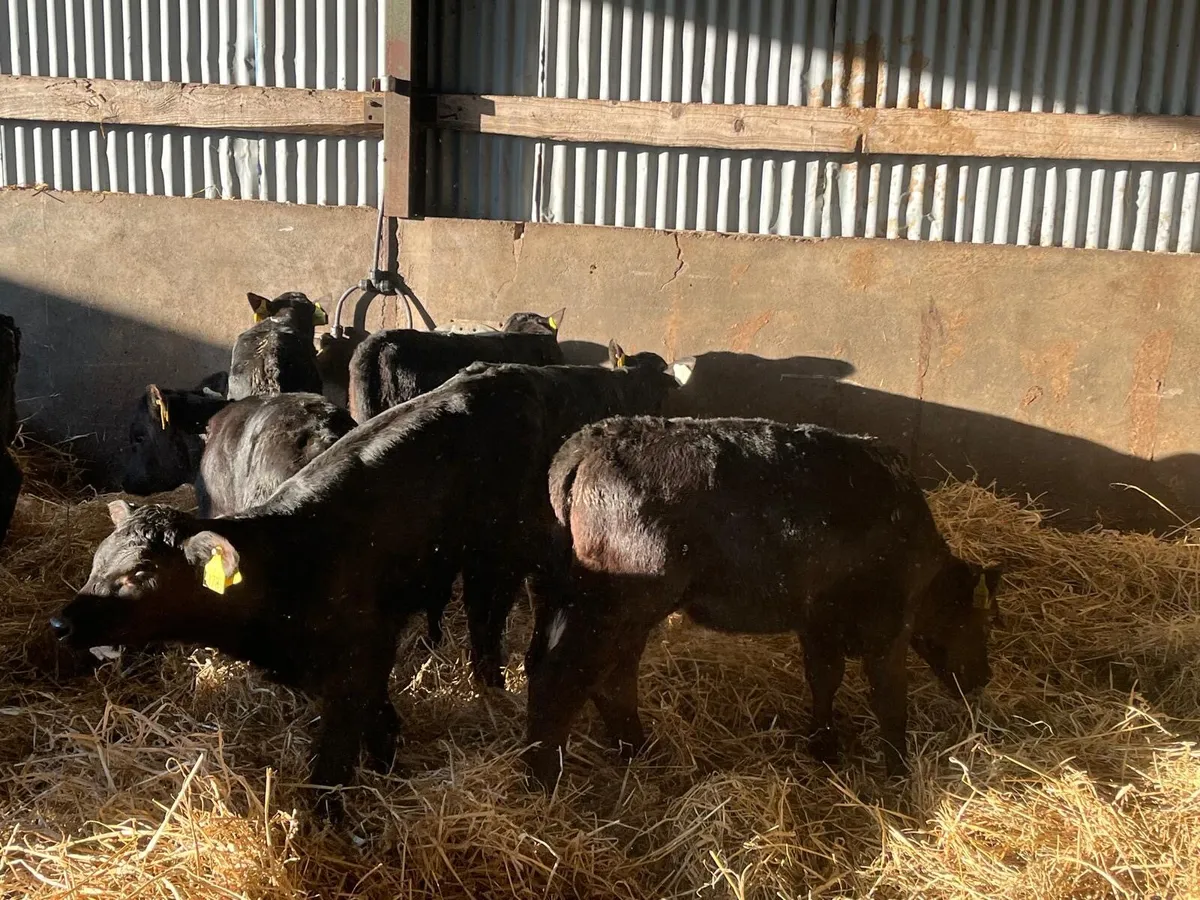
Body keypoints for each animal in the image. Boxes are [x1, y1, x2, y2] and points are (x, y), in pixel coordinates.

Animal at [49, 349, 692, 817]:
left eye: (140, 574)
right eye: (96, 564)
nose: (60, 622)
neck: (296, 558)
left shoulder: (358, 656)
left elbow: (332, 763)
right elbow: (379, 723)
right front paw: (387, 769)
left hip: (500, 558)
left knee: (490, 628)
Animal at [522, 416, 1002, 788]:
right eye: (980, 620)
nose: (984, 677)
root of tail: (589, 440)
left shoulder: (818, 619)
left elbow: (824, 677)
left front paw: (823, 745)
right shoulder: (887, 624)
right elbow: (890, 701)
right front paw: (899, 778)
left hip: (594, 603)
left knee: (604, 675)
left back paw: (638, 751)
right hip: (616, 603)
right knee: (562, 677)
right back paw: (544, 781)